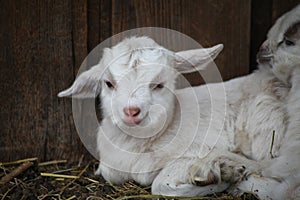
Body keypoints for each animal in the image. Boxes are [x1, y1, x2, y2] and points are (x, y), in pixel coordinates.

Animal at [59, 4, 300, 198]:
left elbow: (160, 185)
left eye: (159, 84)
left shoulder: (199, 148)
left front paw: (218, 178)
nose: (131, 111)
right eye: (108, 83)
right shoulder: (111, 168)